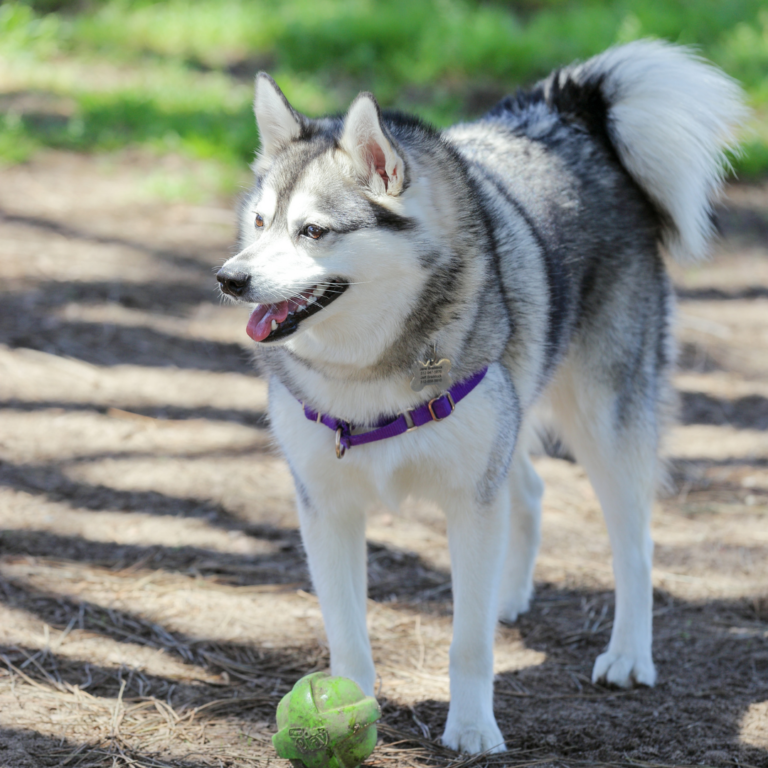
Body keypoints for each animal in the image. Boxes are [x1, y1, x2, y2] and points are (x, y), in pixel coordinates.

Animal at [216, 39, 744, 752]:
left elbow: (468, 645)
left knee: (634, 545)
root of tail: (565, 116)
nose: (229, 279)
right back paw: (507, 596)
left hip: (605, 424)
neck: (367, 373)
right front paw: (344, 712)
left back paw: (629, 654)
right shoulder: (327, 509)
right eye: (260, 221)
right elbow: (348, 637)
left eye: (313, 232)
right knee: (531, 492)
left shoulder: (470, 500)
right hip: (512, 422)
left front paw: (471, 729)